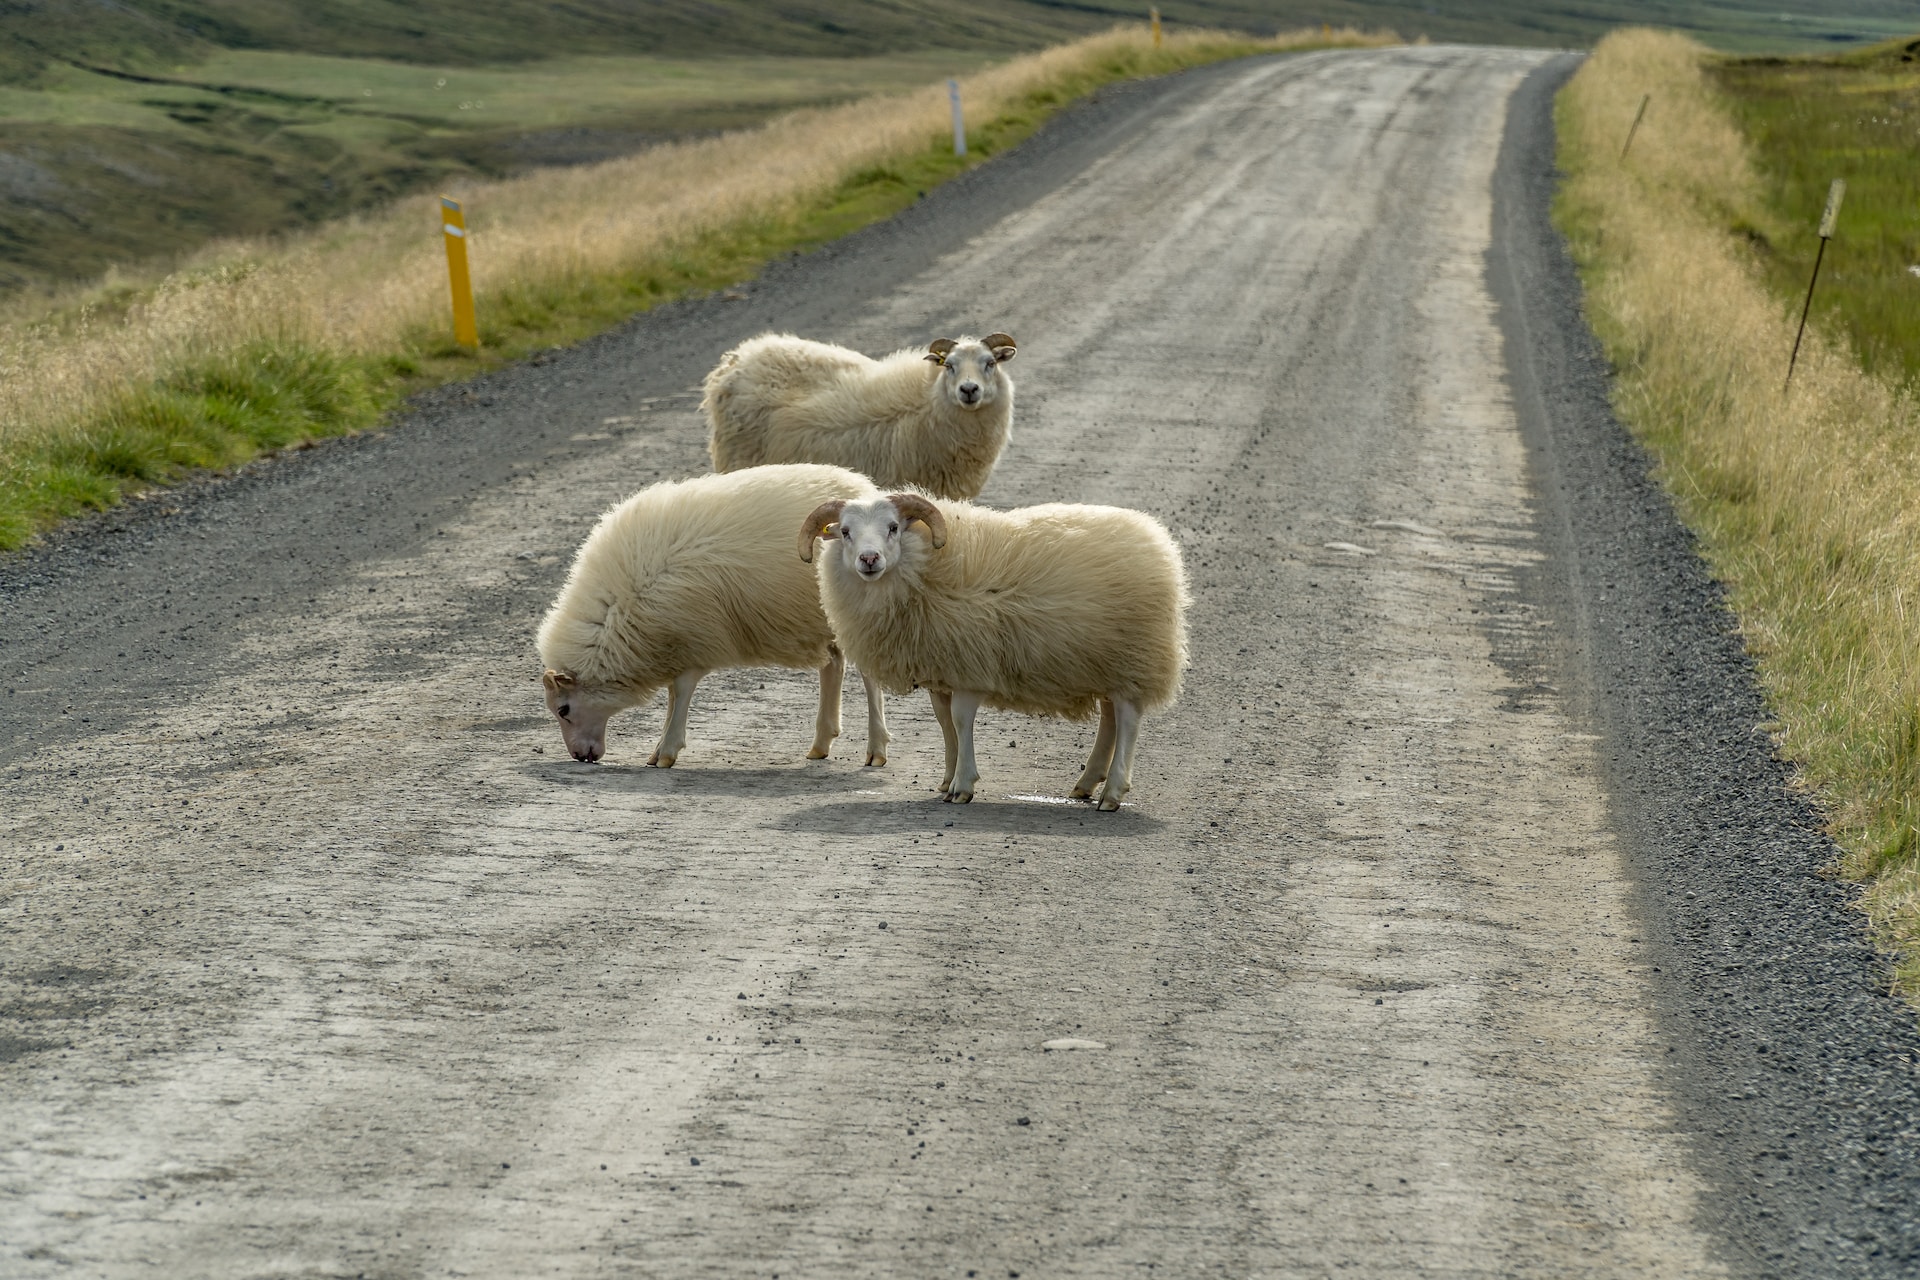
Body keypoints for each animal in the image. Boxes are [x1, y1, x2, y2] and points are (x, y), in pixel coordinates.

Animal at [537, 470, 887, 771]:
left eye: (563, 709)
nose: (579, 755)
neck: (617, 609)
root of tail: (863, 487)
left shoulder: (696, 636)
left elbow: (680, 691)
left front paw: (667, 751)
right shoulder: (674, 640)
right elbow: (672, 695)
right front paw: (657, 749)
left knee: (867, 674)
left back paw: (876, 749)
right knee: (833, 663)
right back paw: (821, 744)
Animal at [794, 495, 1182, 809]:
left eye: (893, 527)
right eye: (845, 532)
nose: (869, 558)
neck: (924, 569)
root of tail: (1156, 540)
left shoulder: (969, 666)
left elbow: (961, 720)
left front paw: (963, 786)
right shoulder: (942, 670)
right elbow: (945, 723)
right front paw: (947, 779)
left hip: (1136, 655)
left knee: (1127, 718)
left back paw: (1112, 794)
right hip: (1105, 660)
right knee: (1110, 717)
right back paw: (1086, 783)